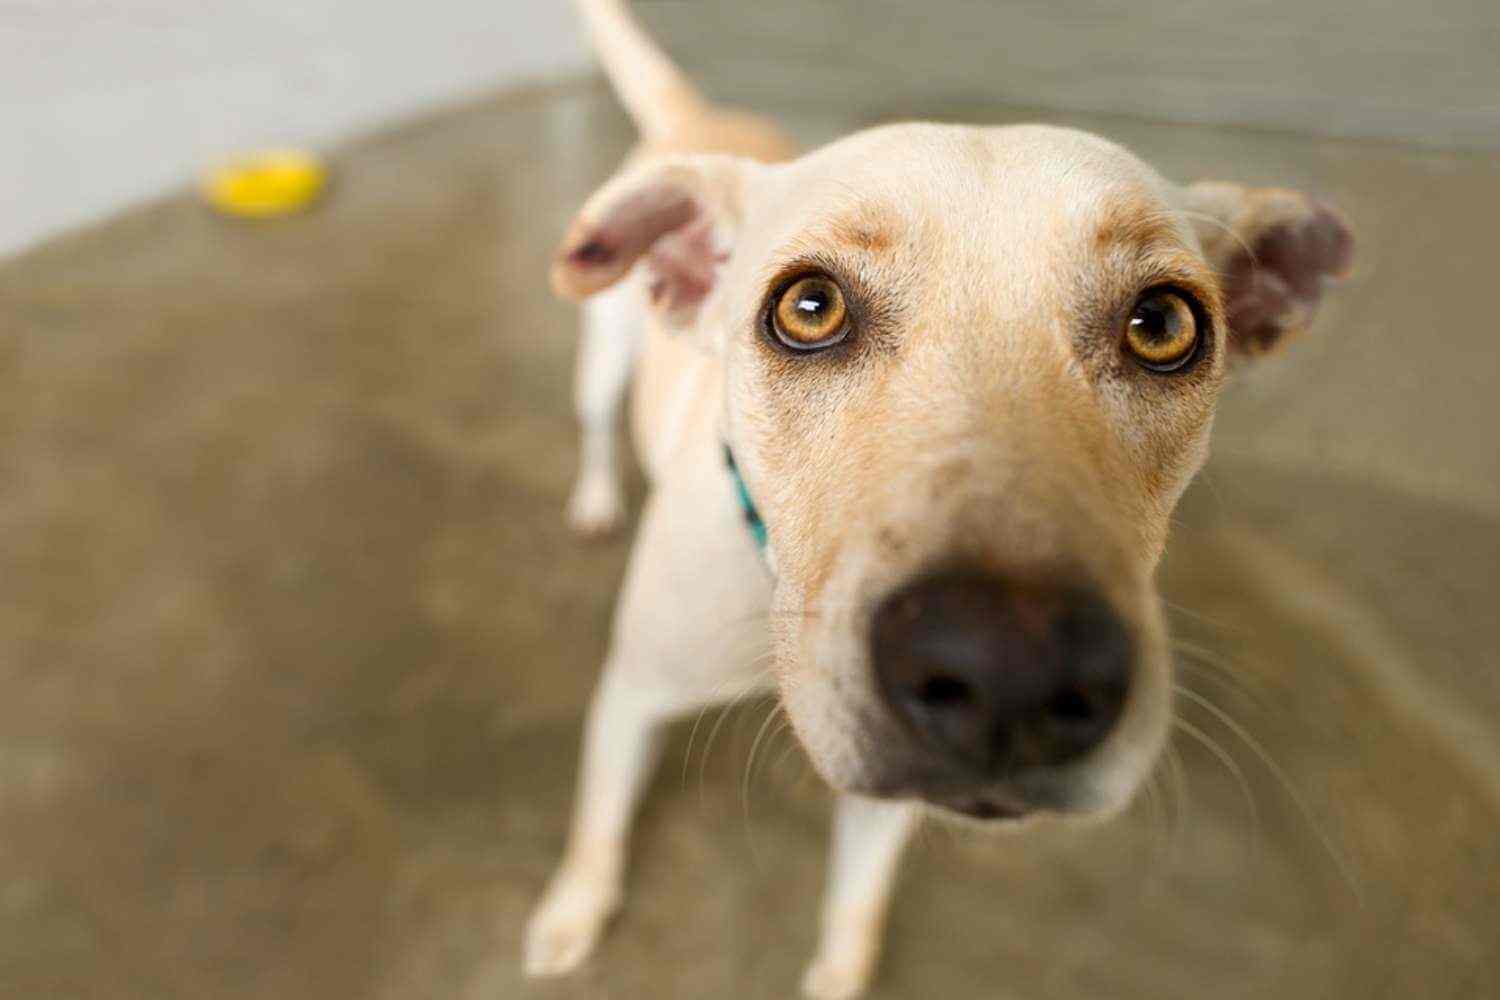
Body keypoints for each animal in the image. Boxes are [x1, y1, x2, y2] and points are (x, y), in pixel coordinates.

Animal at [531, 3, 1362, 995]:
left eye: (1163, 325)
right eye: (808, 307)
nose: (1011, 672)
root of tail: (704, 120)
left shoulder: (890, 807)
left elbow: (855, 906)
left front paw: (838, 977)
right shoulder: (632, 697)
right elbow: (598, 826)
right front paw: (574, 914)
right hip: (600, 361)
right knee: (592, 424)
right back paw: (592, 499)